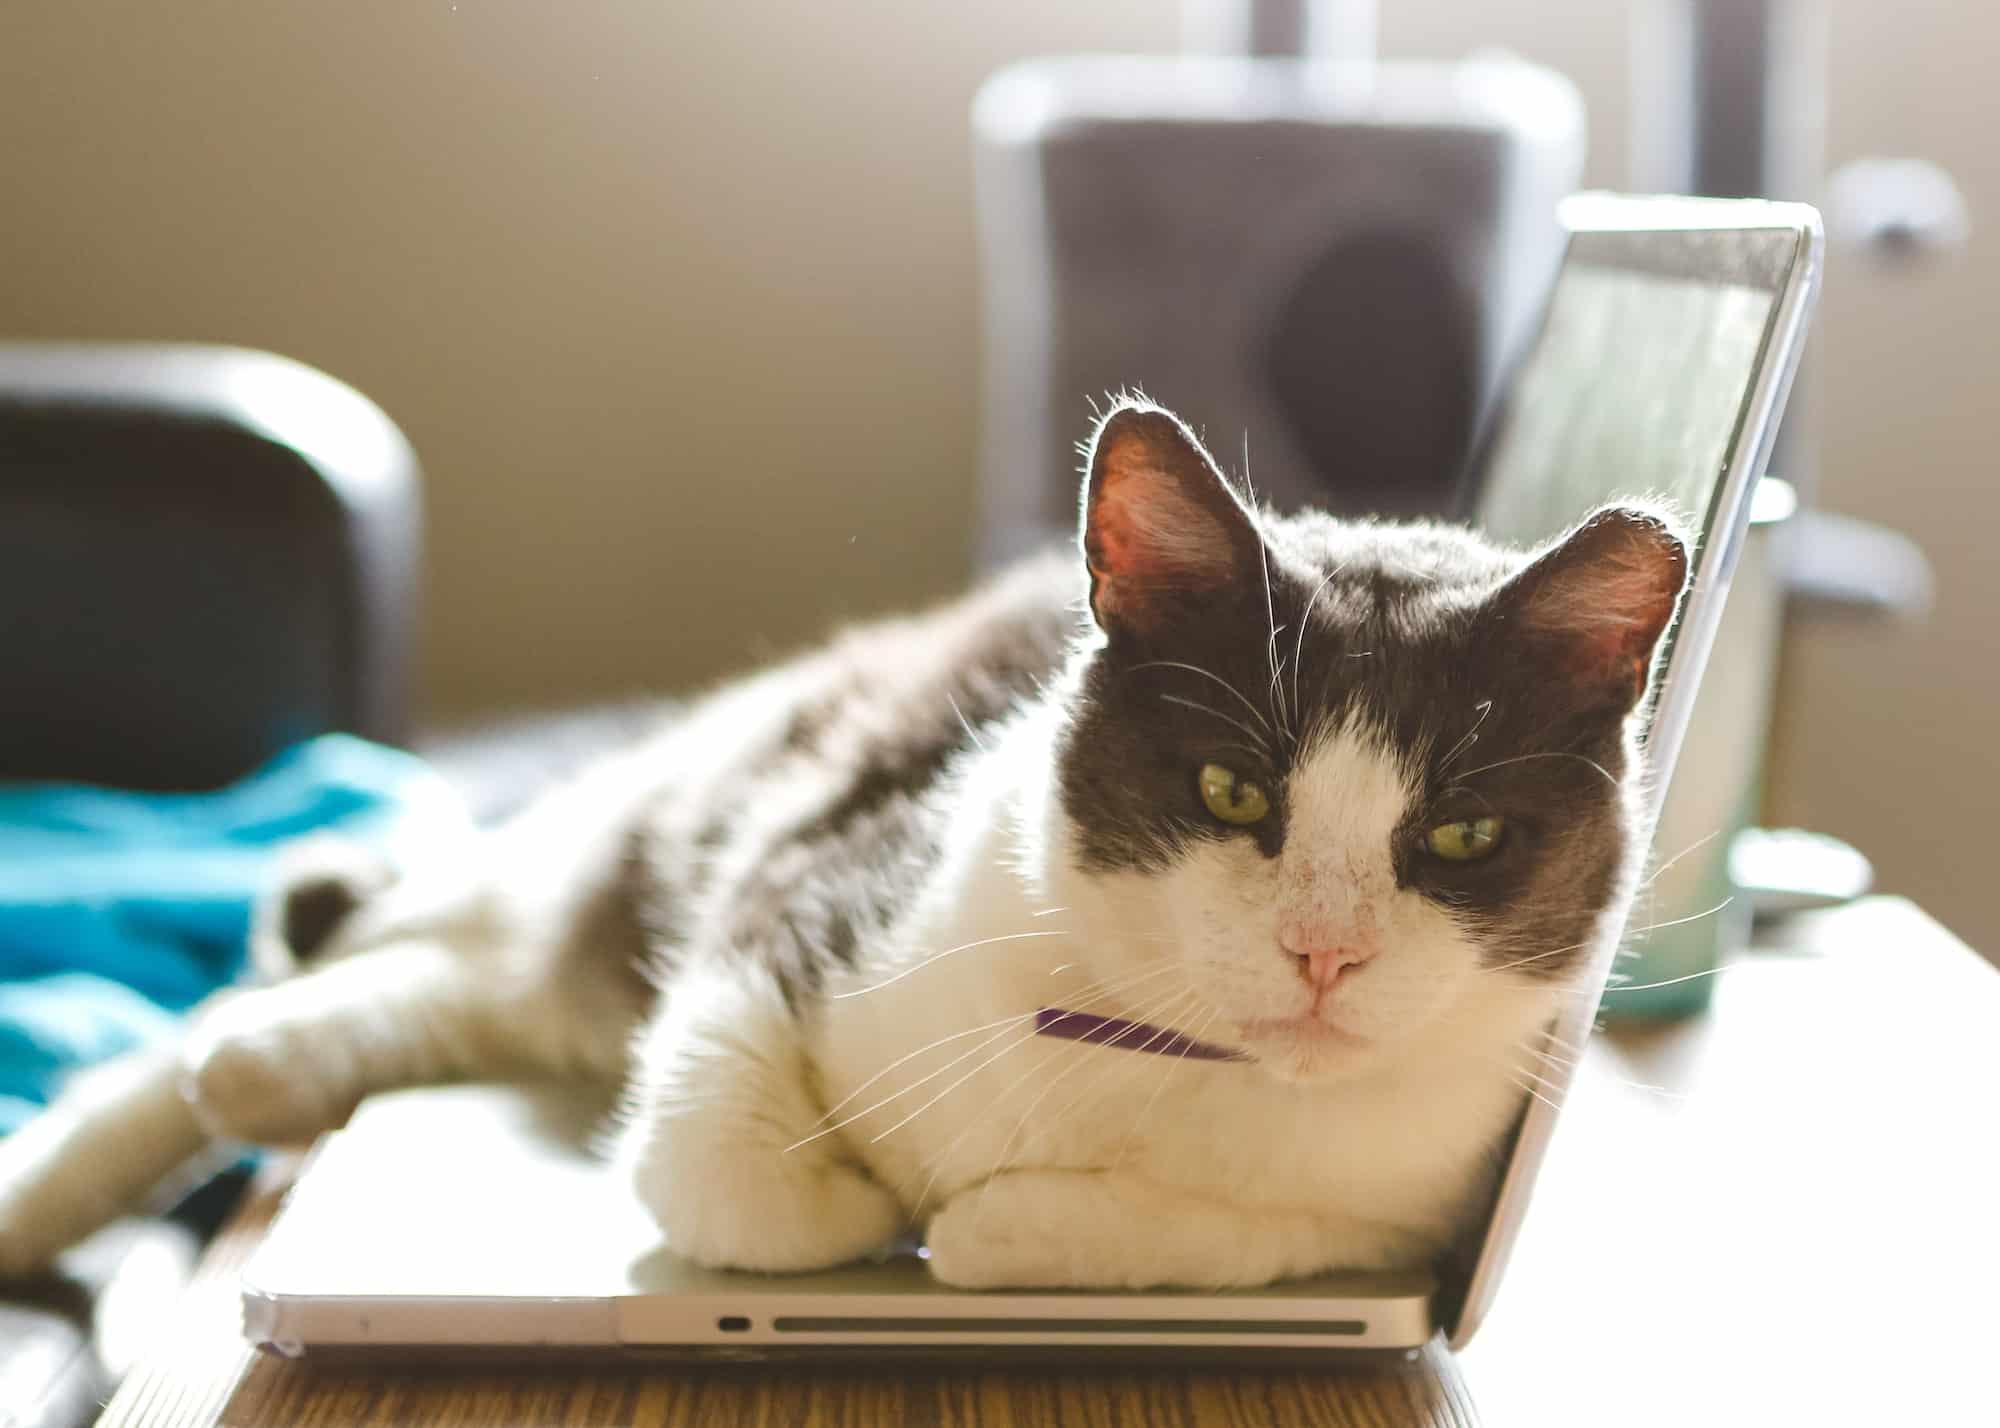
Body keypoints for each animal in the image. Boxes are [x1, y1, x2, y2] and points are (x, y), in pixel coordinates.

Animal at [0, 394, 1688, 1288]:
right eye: (1230, 795)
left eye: (1462, 833)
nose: (1324, 953)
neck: (1162, 1063)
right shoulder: (807, 875)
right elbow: (720, 1170)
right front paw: (871, 1210)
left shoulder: (1427, 1196)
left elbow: (1186, 1234)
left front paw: (984, 1225)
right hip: (668, 806)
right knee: (337, 974)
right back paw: (106, 1149)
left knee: (458, 1003)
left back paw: (268, 1073)